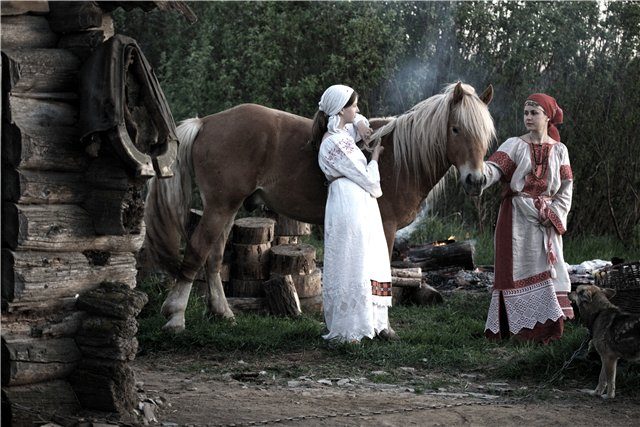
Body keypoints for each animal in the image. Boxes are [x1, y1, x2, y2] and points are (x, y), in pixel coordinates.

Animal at [145, 82, 496, 332]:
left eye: (484, 133)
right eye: (456, 129)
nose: (476, 180)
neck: (399, 158)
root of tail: (206, 122)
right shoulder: (385, 226)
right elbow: (380, 274)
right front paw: (382, 328)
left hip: (227, 208)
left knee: (214, 258)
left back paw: (222, 313)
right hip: (219, 207)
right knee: (197, 252)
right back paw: (175, 317)